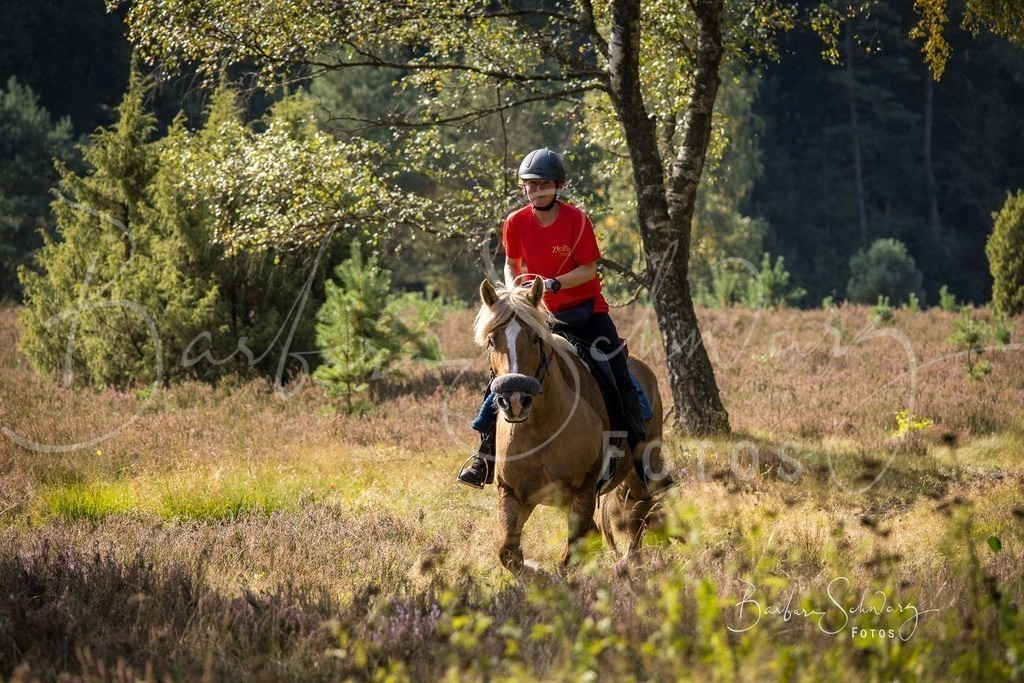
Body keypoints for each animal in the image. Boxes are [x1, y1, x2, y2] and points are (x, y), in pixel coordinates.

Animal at [474, 278, 669, 574]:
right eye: (490, 341)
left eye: (535, 338)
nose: (515, 400)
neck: (541, 428)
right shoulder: (512, 493)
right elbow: (508, 553)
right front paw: (535, 571)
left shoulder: (583, 491)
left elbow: (570, 557)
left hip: (639, 473)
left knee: (638, 515)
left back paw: (630, 563)